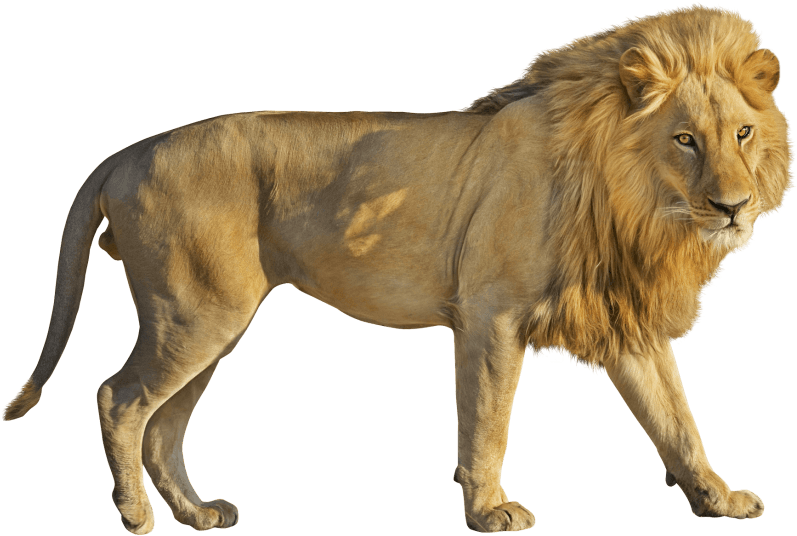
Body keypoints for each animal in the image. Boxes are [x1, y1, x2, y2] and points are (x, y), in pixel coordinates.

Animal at [2, 4, 792, 533]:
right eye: (684, 139)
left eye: (742, 133)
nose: (732, 207)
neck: (635, 205)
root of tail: (127, 152)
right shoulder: (490, 313)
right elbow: (487, 420)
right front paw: (490, 510)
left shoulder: (624, 319)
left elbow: (677, 420)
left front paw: (719, 498)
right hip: (195, 313)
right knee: (119, 399)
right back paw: (137, 517)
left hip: (210, 324)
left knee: (164, 425)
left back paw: (197, 515)